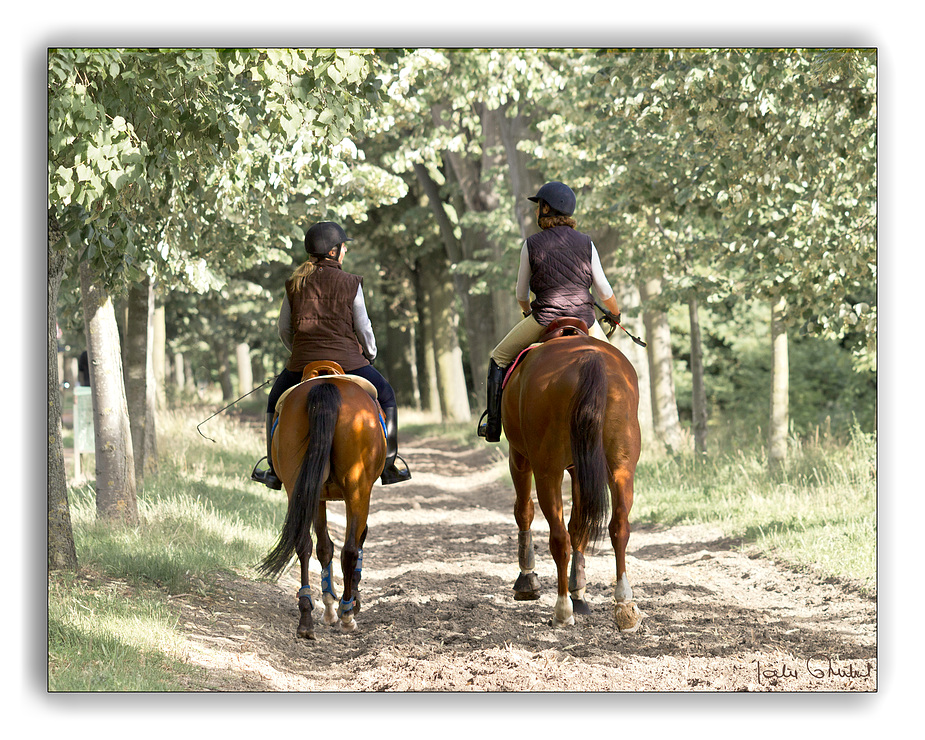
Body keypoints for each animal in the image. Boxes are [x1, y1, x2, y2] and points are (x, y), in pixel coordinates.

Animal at [256, 362, 386, 640]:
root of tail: (325, 385)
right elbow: (353, 542)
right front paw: (348, 603)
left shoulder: (317, 496)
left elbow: (324, 547)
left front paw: (328, 606)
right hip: (357, 487)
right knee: (350, 549)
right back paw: (346, 614)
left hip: (300, 484)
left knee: (303, 542)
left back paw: (306, 617)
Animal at [498, 328, 644, 632]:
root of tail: (589, 359)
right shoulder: (579, 468)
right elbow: (579, 527)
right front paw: (580, 593)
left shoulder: (519, 456)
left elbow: (524, 511)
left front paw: (527, 579)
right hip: (622, 467)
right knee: (619, 527)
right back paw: (624, 605)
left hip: (547, 470)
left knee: (558, 537)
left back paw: (562, 610)